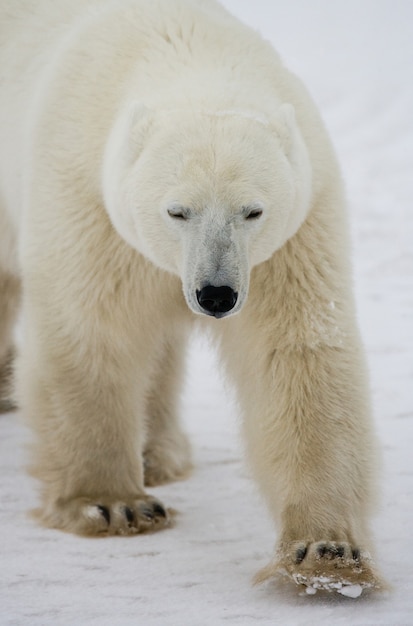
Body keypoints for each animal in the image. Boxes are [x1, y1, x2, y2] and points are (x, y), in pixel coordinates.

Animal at [0, 0, 382, 592]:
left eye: (253, 210)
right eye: (177, 210)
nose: (216, 294)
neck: (187, 46)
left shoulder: (292, 233)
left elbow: (297, 354)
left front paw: (326, 552)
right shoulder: (85, 193)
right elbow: (91, 331)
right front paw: (112, 505)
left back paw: (157, 452)